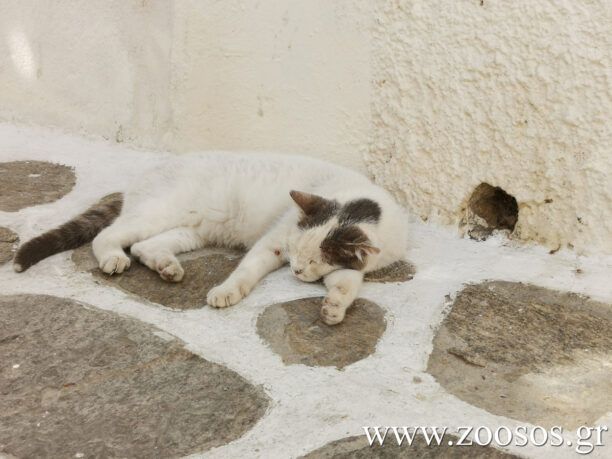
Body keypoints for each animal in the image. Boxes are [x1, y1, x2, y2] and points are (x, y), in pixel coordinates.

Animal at [13, 153, 406, 326]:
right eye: (293, 253)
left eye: (312, 262)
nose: (295, 270)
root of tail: (149, 172)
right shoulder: (274, 240)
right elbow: (246, 271)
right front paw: (226, 292)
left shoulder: (353, 266)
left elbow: (346, 285)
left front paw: (333, 308)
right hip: (160, 212)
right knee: (111, 236)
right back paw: (113, 257)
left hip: (191, 230)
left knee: (145, 246)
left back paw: (167, 267)